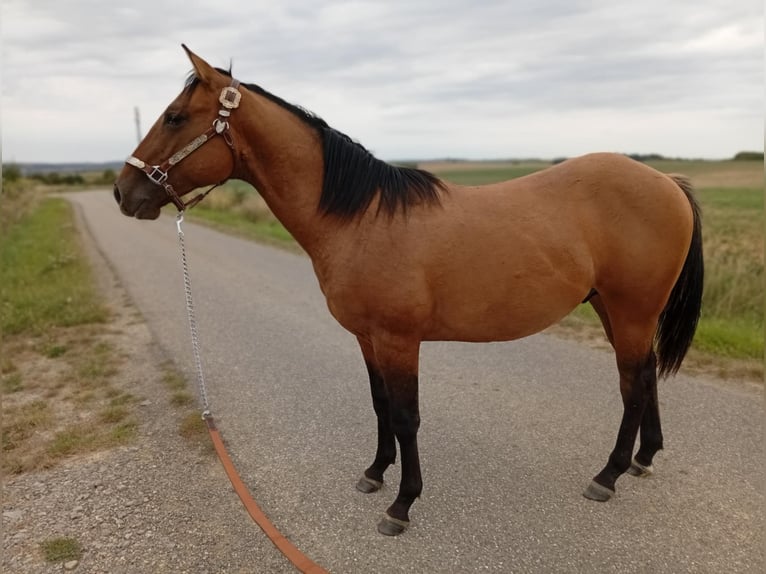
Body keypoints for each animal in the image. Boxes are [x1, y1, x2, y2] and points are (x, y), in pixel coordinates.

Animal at [113, 46, 703, 536]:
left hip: (631, 311)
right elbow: (379, 405)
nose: (123, 192)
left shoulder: (400, 340)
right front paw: (375, 473)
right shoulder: (367, 337)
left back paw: (608, 475)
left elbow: (405, 416)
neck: (359, 218)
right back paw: (643, 459)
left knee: (632, 387)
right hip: (614, 309)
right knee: (645, 375)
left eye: (175, 117)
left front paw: (401, 505)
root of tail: (667, 183)